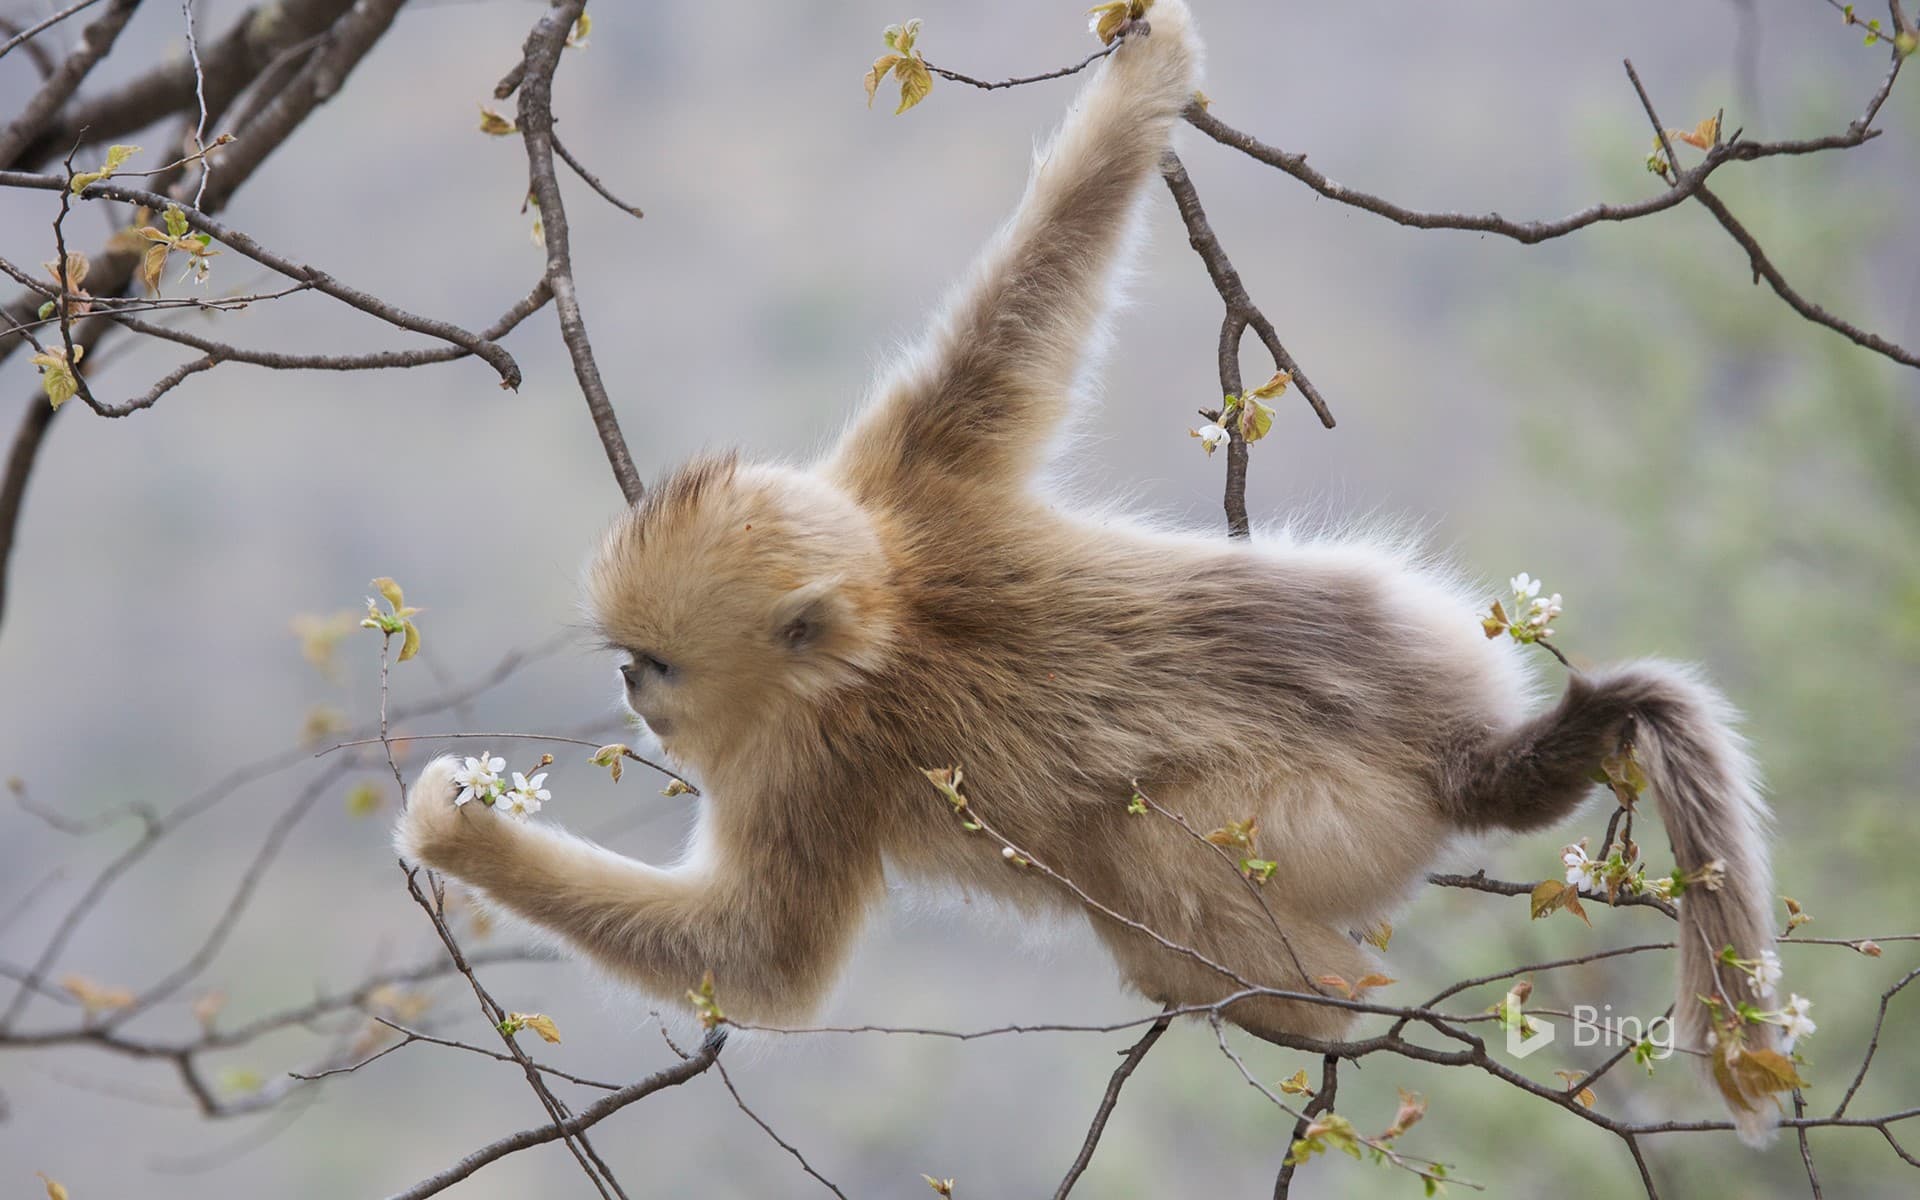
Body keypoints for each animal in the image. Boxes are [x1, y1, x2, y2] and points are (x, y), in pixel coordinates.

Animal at [395, 0, 1782, 1144]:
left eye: (661, 665)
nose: (632, 696)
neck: (887, 606)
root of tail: (1459, 755)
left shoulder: (814, 763)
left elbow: (757, 961)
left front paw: (459, 834)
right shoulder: (908, 474)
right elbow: (1028, 302)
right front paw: (1152, 66)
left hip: (1311, 823)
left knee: (1139, 843)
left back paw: (1313, 1002)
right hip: (1415, 615)